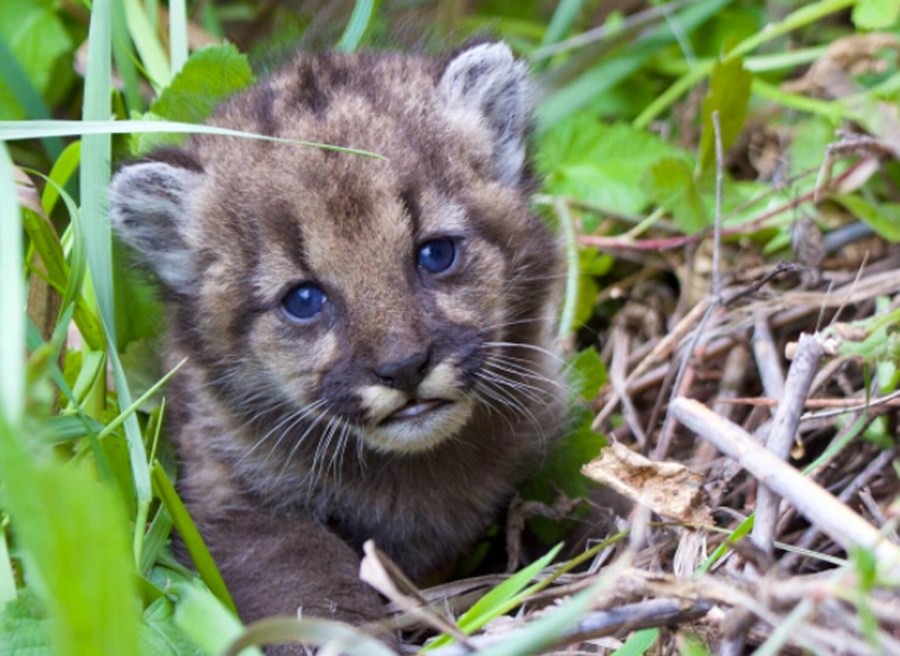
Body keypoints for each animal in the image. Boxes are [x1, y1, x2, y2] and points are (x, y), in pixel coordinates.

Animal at [110, 42, 564, 644]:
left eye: (436, 253)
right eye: (304, 299)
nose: (404, 367)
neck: (410, 475)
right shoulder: (221, 506)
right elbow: (302, 572)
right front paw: (344, 637)